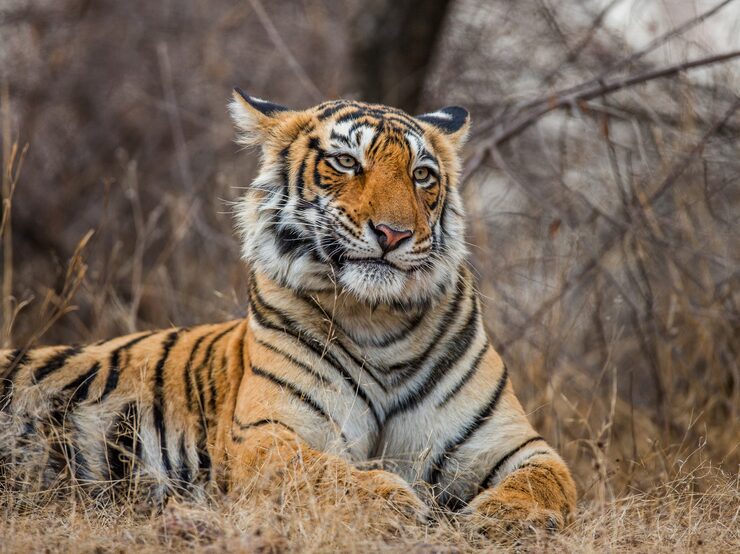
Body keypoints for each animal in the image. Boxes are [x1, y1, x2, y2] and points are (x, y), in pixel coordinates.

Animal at [0, 90, 576, 536]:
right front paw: (393, 502)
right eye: (346, 162)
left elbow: (549, 482)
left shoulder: (512, 444)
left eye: (422, 175)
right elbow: (322, 472)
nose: (393, 234)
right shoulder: (266, 433)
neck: (379, 320)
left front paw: (503, 517)